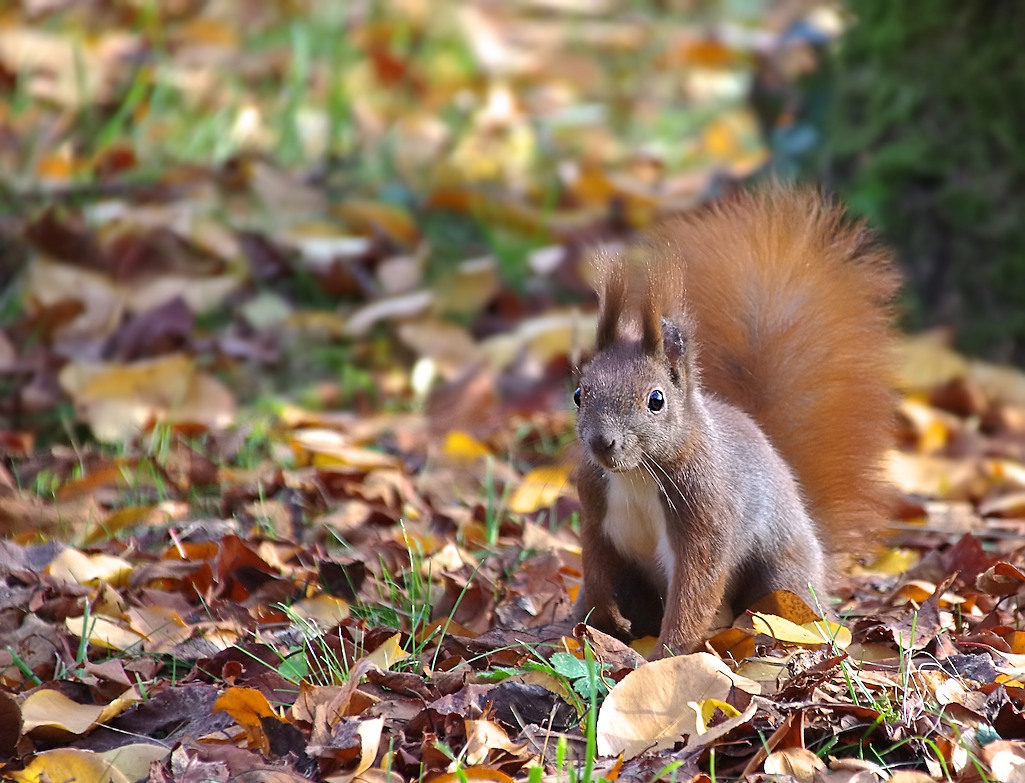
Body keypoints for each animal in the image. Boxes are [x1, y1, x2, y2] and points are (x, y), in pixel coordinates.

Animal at [574, 186, 902, 655]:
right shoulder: (593, 502)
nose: (602, 442)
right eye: (578, 394)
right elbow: (595, 562)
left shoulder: (707, 510)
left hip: (783, 576)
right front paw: (610, 616)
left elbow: (696, 587)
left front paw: (666, 654)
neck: (637, 475)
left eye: (656, 400)